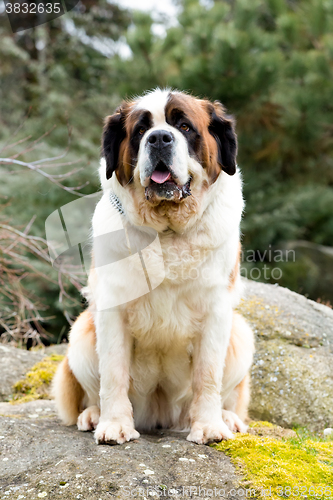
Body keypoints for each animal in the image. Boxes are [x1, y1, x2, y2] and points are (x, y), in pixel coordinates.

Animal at [53, 88, 253, 444]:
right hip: (81, 335)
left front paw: (209, 426)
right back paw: (93, 415)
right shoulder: (112, 311)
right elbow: (113, 373)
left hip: (241, 334)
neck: (167, 232)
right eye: (141, 130)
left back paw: (227, 418)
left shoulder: (216, 311)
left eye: (184, 127)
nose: (159, 138)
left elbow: (208, 375)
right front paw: (114, 424)